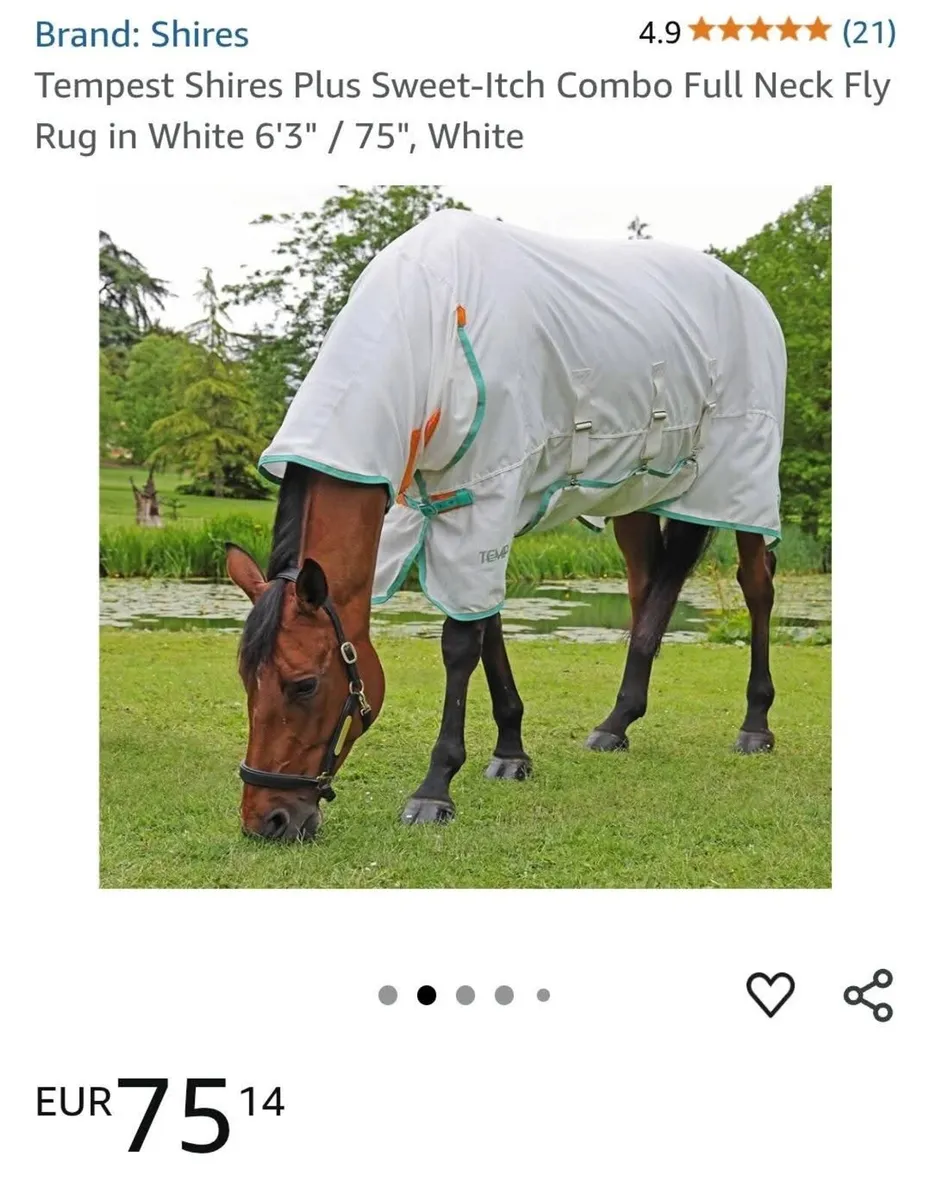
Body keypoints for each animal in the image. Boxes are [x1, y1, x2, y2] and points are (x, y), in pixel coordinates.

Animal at [226, 210, 785, 841]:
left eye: (304, 684)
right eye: (246, 679)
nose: (267, 819)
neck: (434, 323)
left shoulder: (487, 492)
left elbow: (460, 645)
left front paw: (435, 788)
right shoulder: (452, 503)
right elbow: (485, 624)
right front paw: (512, 750)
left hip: (740, 482)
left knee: (757, 587)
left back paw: (755, 723)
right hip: (636, 499)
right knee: (649, 594)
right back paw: (617, 722)